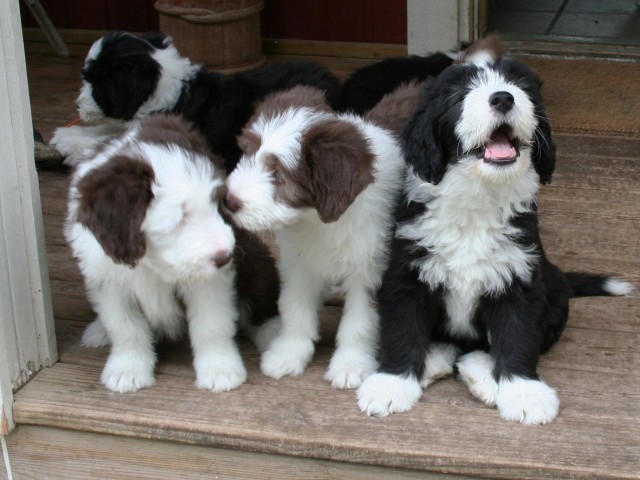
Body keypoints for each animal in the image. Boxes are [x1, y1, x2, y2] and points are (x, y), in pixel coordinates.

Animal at [51, 30, 340, 172]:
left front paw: (69, 143)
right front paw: (70, 135)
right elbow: (110, 129)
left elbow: (113, 140)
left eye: (96, 82)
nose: (78, 105)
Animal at [65, 114, 280, 392]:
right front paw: (127, 369)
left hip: (254, 259)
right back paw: (98, 330)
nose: (225, 256)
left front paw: (220, 369)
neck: (151, 262)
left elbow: (211, 324)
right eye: (178, 219)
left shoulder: (211, 281)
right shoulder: (109, 280)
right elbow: (125, 329)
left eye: (216, 203)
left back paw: (273, 332)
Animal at [222, 84, 418, 388]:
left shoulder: (371, 268)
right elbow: (295, 308)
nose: (228, 200)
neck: (317, 220)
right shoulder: (298, 262)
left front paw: (350, 364)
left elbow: (359, 321)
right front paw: (288, 354)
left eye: (279, 175)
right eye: (247, 153)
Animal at [356, 55, 636, 424]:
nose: (503, 97)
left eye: (520, 85)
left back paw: (482, 373)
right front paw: (391, 385)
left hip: (553, 294)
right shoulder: (406, 274)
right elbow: (403, 328)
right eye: (459, 93)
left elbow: (517, 336)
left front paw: (524, 392)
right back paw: (434, 359)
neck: (478, 196)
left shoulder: (520, 276)